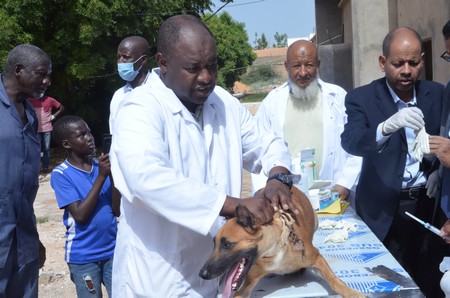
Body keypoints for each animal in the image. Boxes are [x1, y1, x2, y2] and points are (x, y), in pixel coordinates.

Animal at [200, 187, 366, 296]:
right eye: (214, 243)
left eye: (227, 244)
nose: (202, 274)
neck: (275, 250)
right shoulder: (249, 280)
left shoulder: (316, 257)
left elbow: (334, 280)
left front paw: (351, 293)